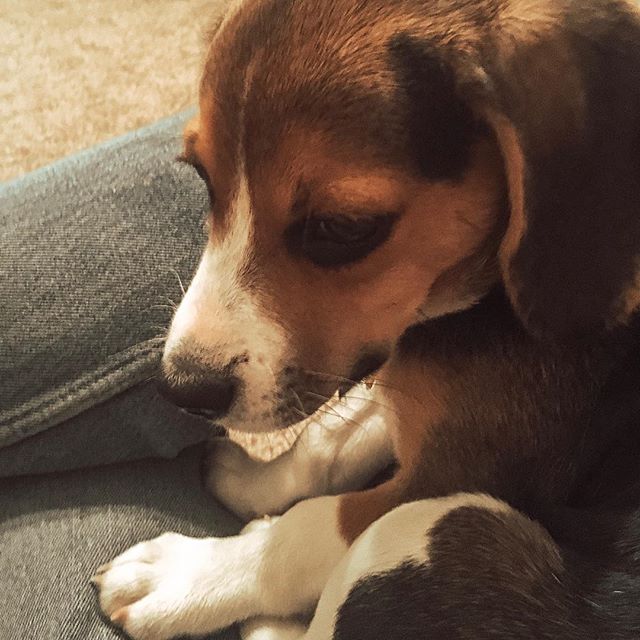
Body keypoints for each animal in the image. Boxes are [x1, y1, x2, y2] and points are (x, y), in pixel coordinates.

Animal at [92, 0, 640, 636]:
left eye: (342, 228)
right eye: (202, 177)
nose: (182, 389)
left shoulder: (458, 476)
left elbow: (309, 529)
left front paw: (188, 575)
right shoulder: (407, 384)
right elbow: (333, 441)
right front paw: (254, 480)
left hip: (438, 529)